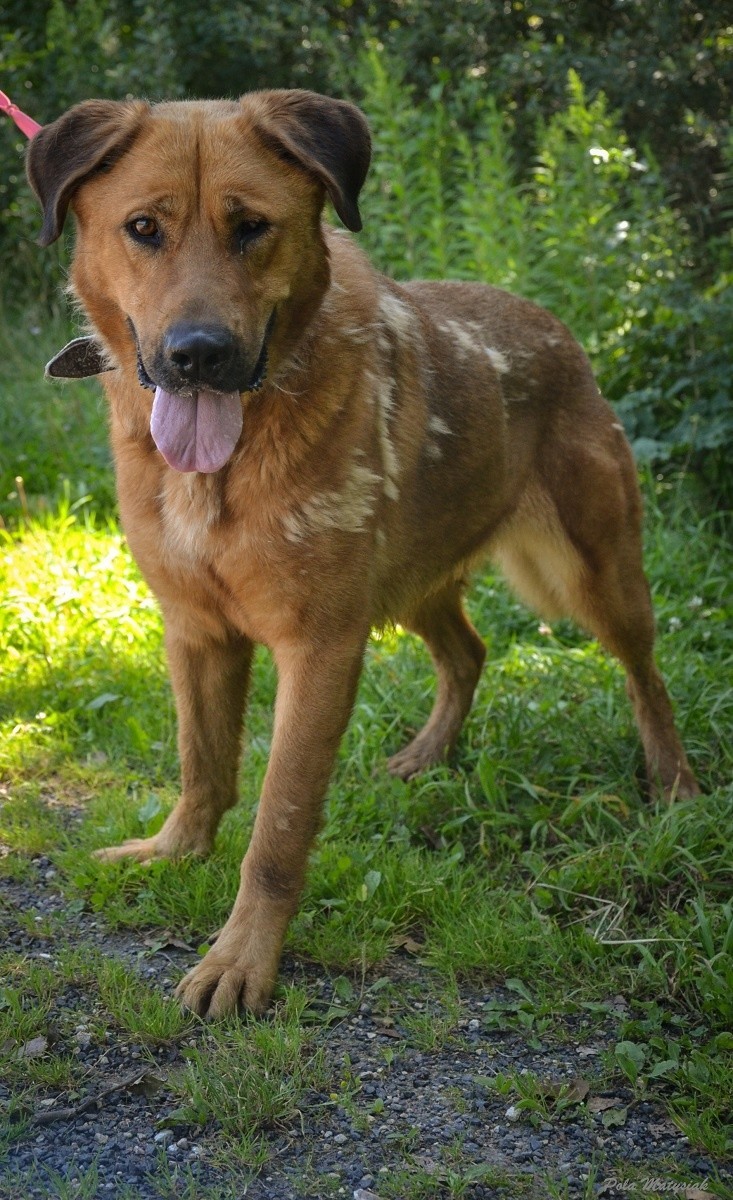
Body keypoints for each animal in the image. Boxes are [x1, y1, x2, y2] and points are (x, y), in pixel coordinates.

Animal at [24, 88, 700, 1017]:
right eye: (142, 228)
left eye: (252, 227)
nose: (198, 355)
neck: (229, 466)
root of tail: (555, 328)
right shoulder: (196, 632)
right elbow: (204, 766)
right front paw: (174, 852)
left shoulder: (320, 649)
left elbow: (277, 823)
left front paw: (241, 961)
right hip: (415, 581)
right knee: (468, 652)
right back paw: (425, 755)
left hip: (592, 574)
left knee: (643, 675)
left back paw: (673, 785)